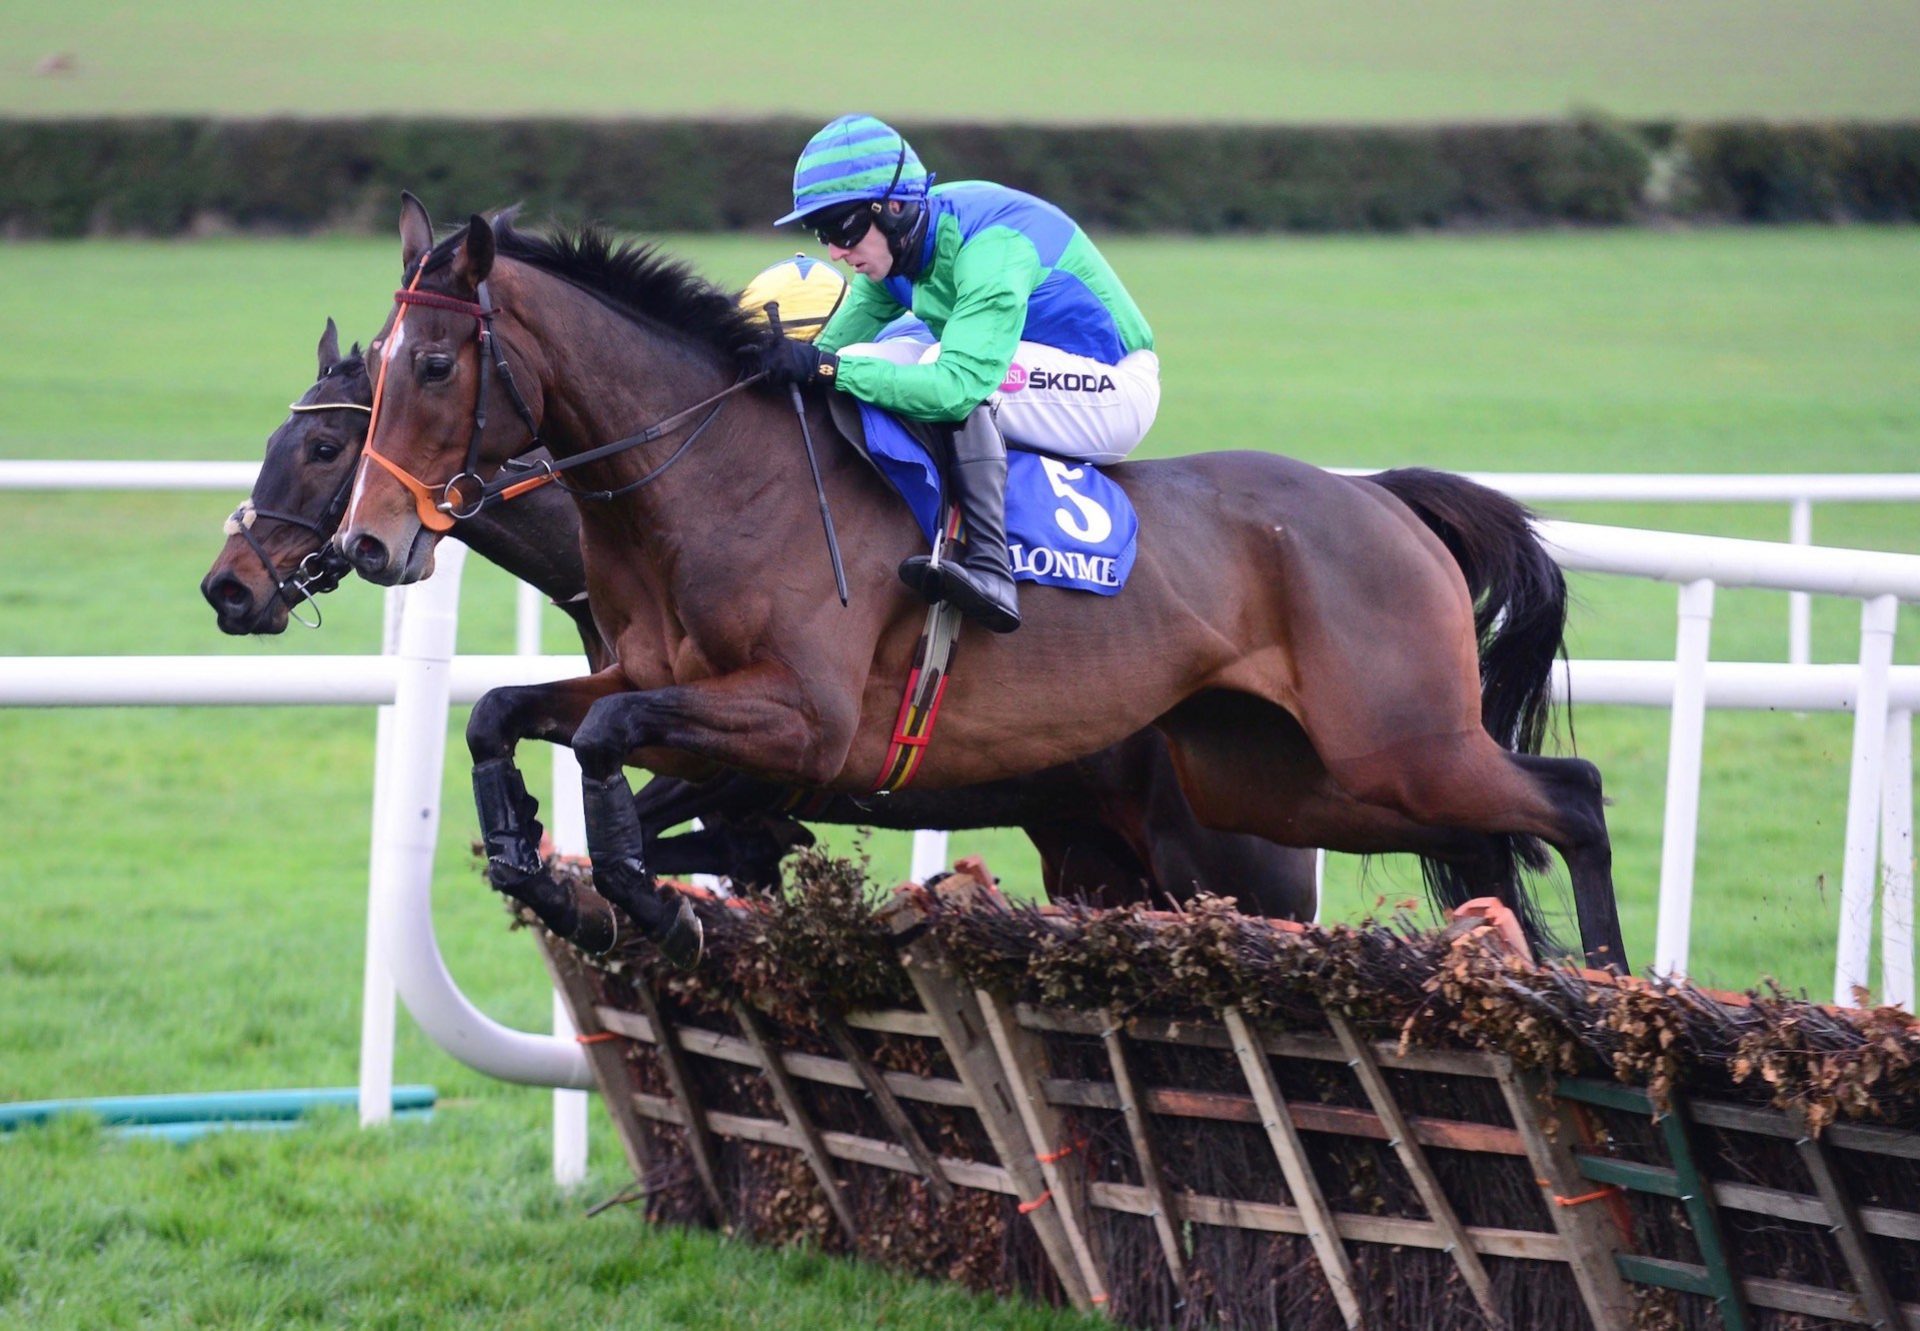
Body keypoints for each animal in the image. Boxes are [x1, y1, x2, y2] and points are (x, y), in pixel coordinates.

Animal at [206, 314, 1320, 914]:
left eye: (322, 448)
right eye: (271, 440)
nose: (229, 585)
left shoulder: (765, 743)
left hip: (1230, 861)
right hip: (1095, 852)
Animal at [334, 196, 1620, 964]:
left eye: (436, 363)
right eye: (379, 370)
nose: (368, 544)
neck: (713, 477)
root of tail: (1382, 499)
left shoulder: (803, 718)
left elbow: (614, 745)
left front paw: (638, 894)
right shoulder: (650, 673)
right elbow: (511, 713)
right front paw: (530, 855)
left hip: (1392, 743)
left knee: (1573, 795)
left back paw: (1611, 984)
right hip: (1287, 778)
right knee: (1513, 815)